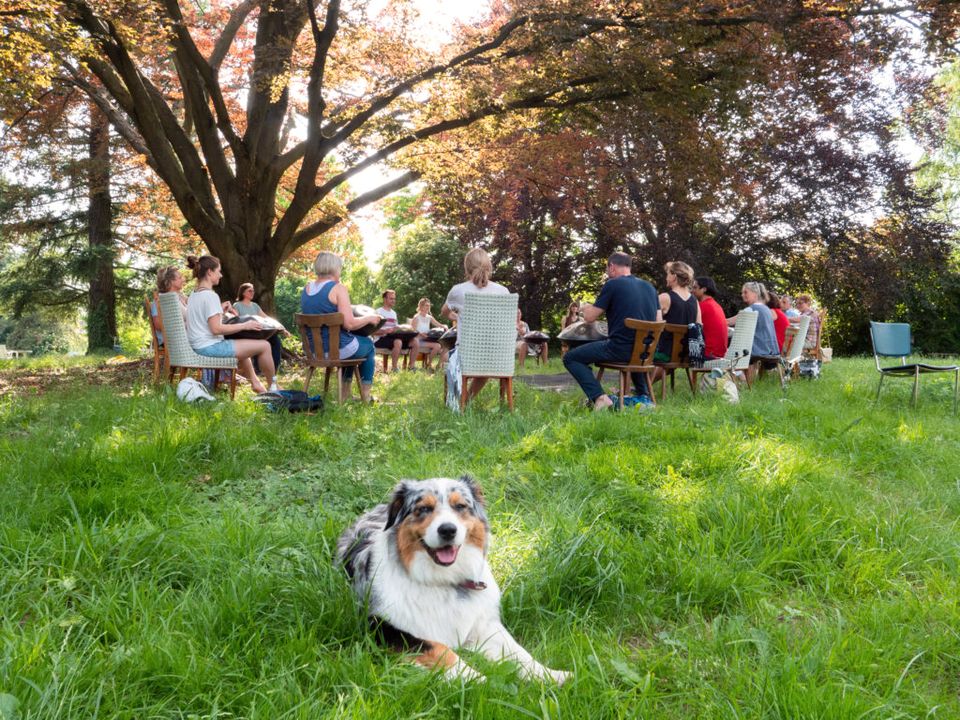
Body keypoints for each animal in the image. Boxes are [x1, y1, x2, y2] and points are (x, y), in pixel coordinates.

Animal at [340, 476, 568, 684]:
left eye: (460, 506)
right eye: (423, 508)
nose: (448, 529)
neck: (443, 581)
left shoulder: (483, 625)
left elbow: (518, 652)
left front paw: (551, 675)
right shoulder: (381, 627)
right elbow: (440, 648)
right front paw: (476, 678)